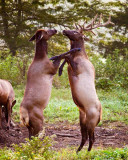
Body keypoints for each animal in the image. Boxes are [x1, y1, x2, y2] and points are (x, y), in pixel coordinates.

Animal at [59, 14, 114, 152]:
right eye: (73, 29)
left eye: (76, 32)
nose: (64, 30)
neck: (80, 56)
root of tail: (100, 115)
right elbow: (66, 56)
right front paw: (59, 68)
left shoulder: (77, 70)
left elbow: (66, 56)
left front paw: (59, 68)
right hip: (82, 118)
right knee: (84, 137)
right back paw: (78, 151)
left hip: (91, 120)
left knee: (92, 138)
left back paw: (87, 153)